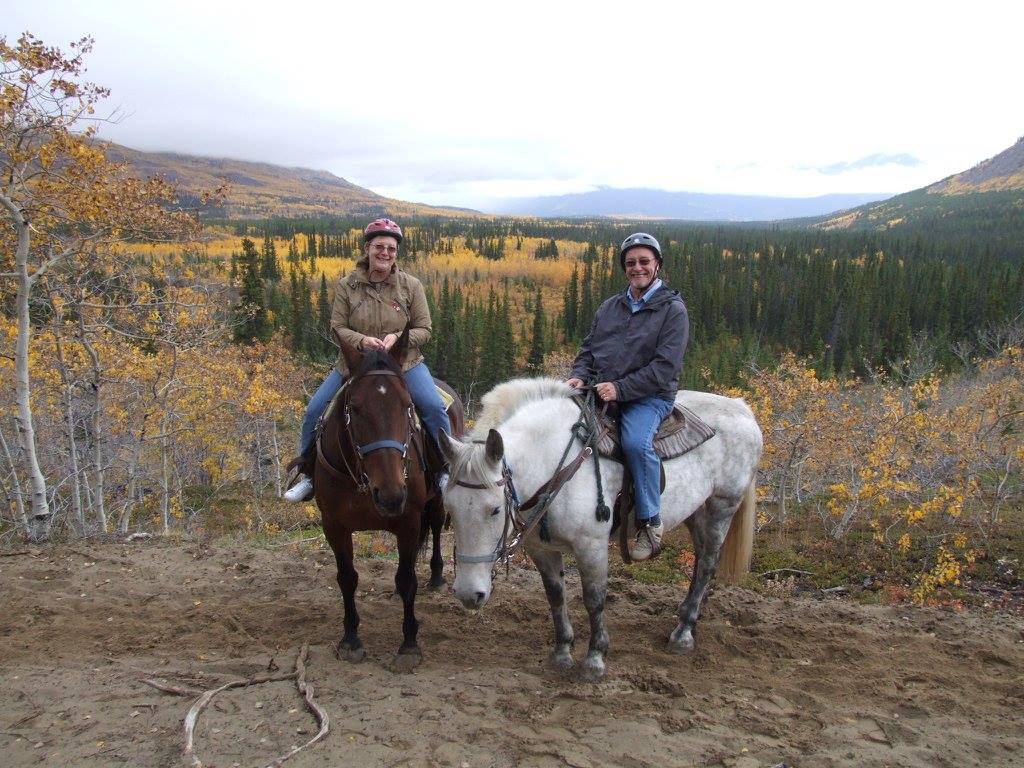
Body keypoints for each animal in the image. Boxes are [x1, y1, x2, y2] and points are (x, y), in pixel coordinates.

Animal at [313, 331, 466, 671]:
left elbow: (407, 579)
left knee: (436, 527)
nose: (392, 494)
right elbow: (347, 578)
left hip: (436, 501)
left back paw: (436, 577)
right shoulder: (334, 526)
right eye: (355, 408)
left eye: (408, 406)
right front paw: (350, 640)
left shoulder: (408, 522)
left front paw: (409, 646)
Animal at [436, 378, 765, 679]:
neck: (553, 461)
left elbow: (594, 599)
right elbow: (555, 595)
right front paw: (561, 652)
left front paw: (595, 657)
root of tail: (741, 408)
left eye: (494, 509)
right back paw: (688, 615)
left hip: (721, 507)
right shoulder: (541, 548)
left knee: (708, 563)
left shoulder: (591, 545)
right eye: (449, 508)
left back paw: (684, 633)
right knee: (700, 561)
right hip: (696, 512)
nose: (469, 594)